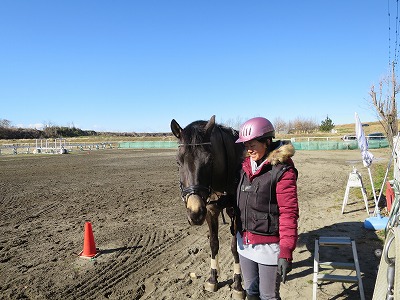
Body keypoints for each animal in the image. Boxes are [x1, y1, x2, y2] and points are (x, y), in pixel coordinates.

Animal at [170, 115, 245, 300]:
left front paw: (238, 283)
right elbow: (213, 243)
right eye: (178, 161)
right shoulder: (211, 211)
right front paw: (213, 277)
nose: (195, 213)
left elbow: (235, 247)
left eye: (210, 160)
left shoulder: (235, 212)